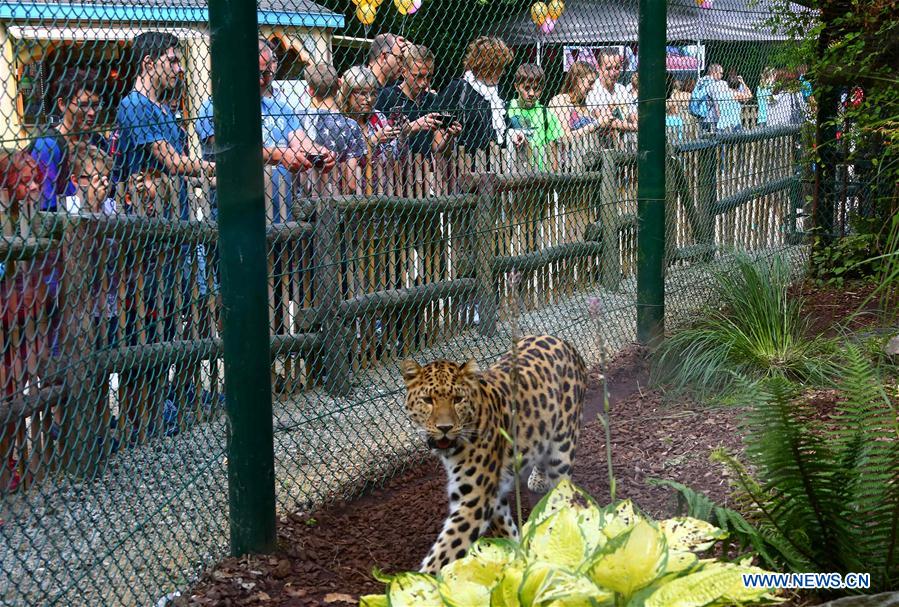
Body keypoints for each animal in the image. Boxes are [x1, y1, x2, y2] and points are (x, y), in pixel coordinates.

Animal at [398, 332, 588, 576]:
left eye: (457, 399)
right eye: (427, 400)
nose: (445, 427)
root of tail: (563, 341)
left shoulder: (475, 501)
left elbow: (444, 552)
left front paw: (420, 584)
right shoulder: (492, 495)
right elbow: (506, 530)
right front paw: (518, 557)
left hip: (563, 446)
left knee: (562, 489)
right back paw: (537, 479)